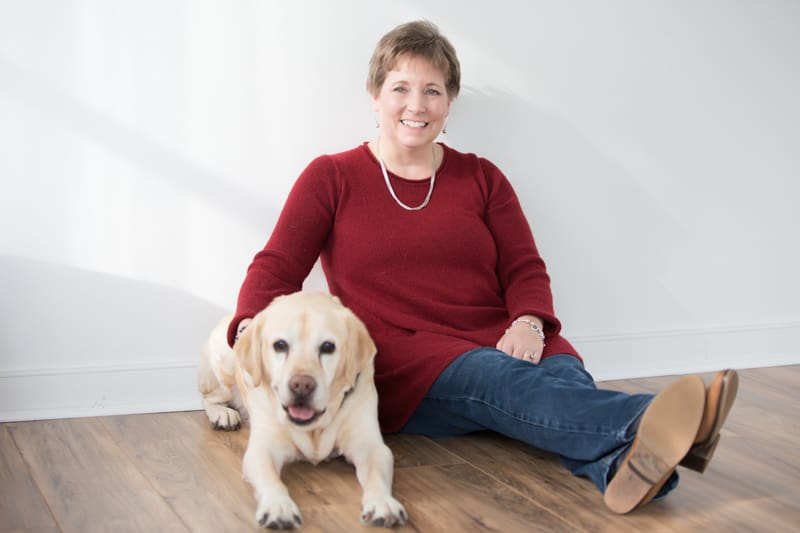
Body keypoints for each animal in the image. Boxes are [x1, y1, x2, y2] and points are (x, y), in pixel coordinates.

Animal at [195, 290, 406, 528]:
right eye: (280, 345)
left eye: (328, 347)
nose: (302, 385)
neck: (313, 429)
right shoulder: (262, 449)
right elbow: (271, 479)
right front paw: (278, 506)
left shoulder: (371, 446)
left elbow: (376, 475)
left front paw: (383, 503)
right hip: (224, 369)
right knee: (208, 397)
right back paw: (223, 414)